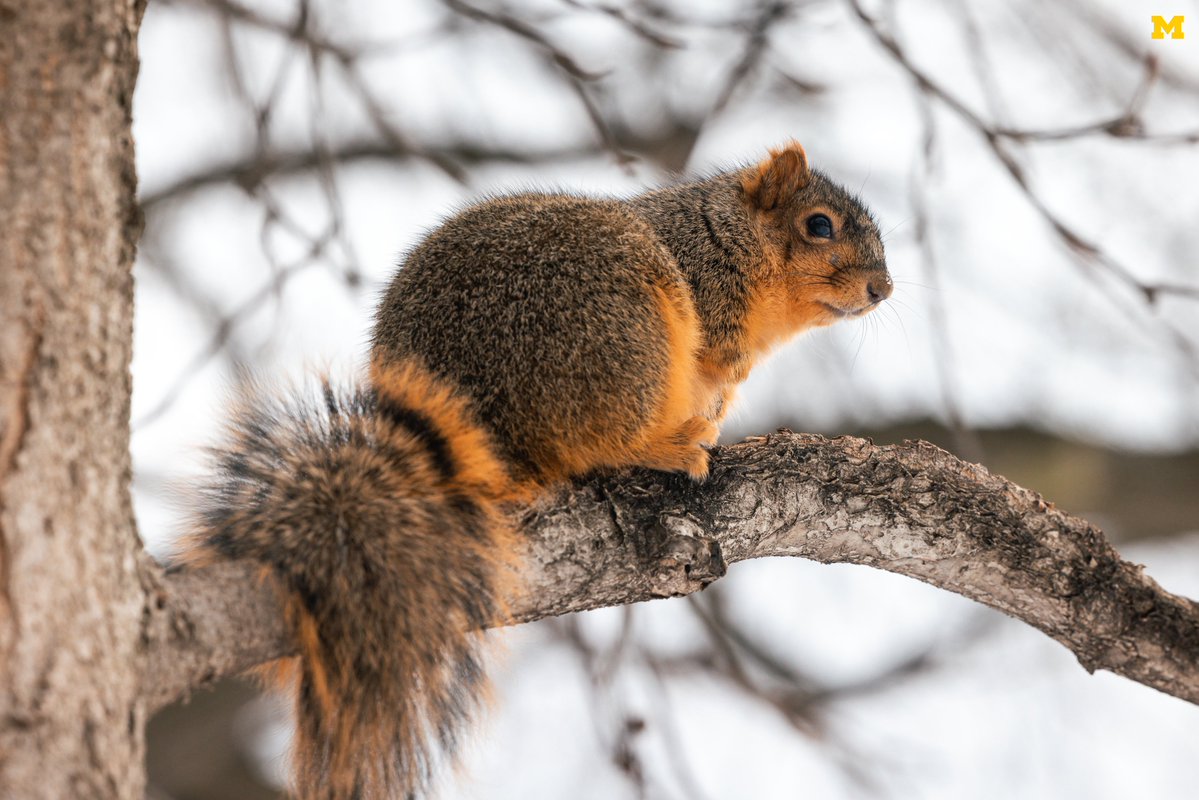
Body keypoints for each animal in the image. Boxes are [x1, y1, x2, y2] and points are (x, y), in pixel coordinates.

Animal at [181, 141, 891, 799]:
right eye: (819, 225)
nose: (882, 290)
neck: (726, 235)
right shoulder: (707, 285)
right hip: (617, 337)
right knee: (606, 438)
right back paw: (667, 447)